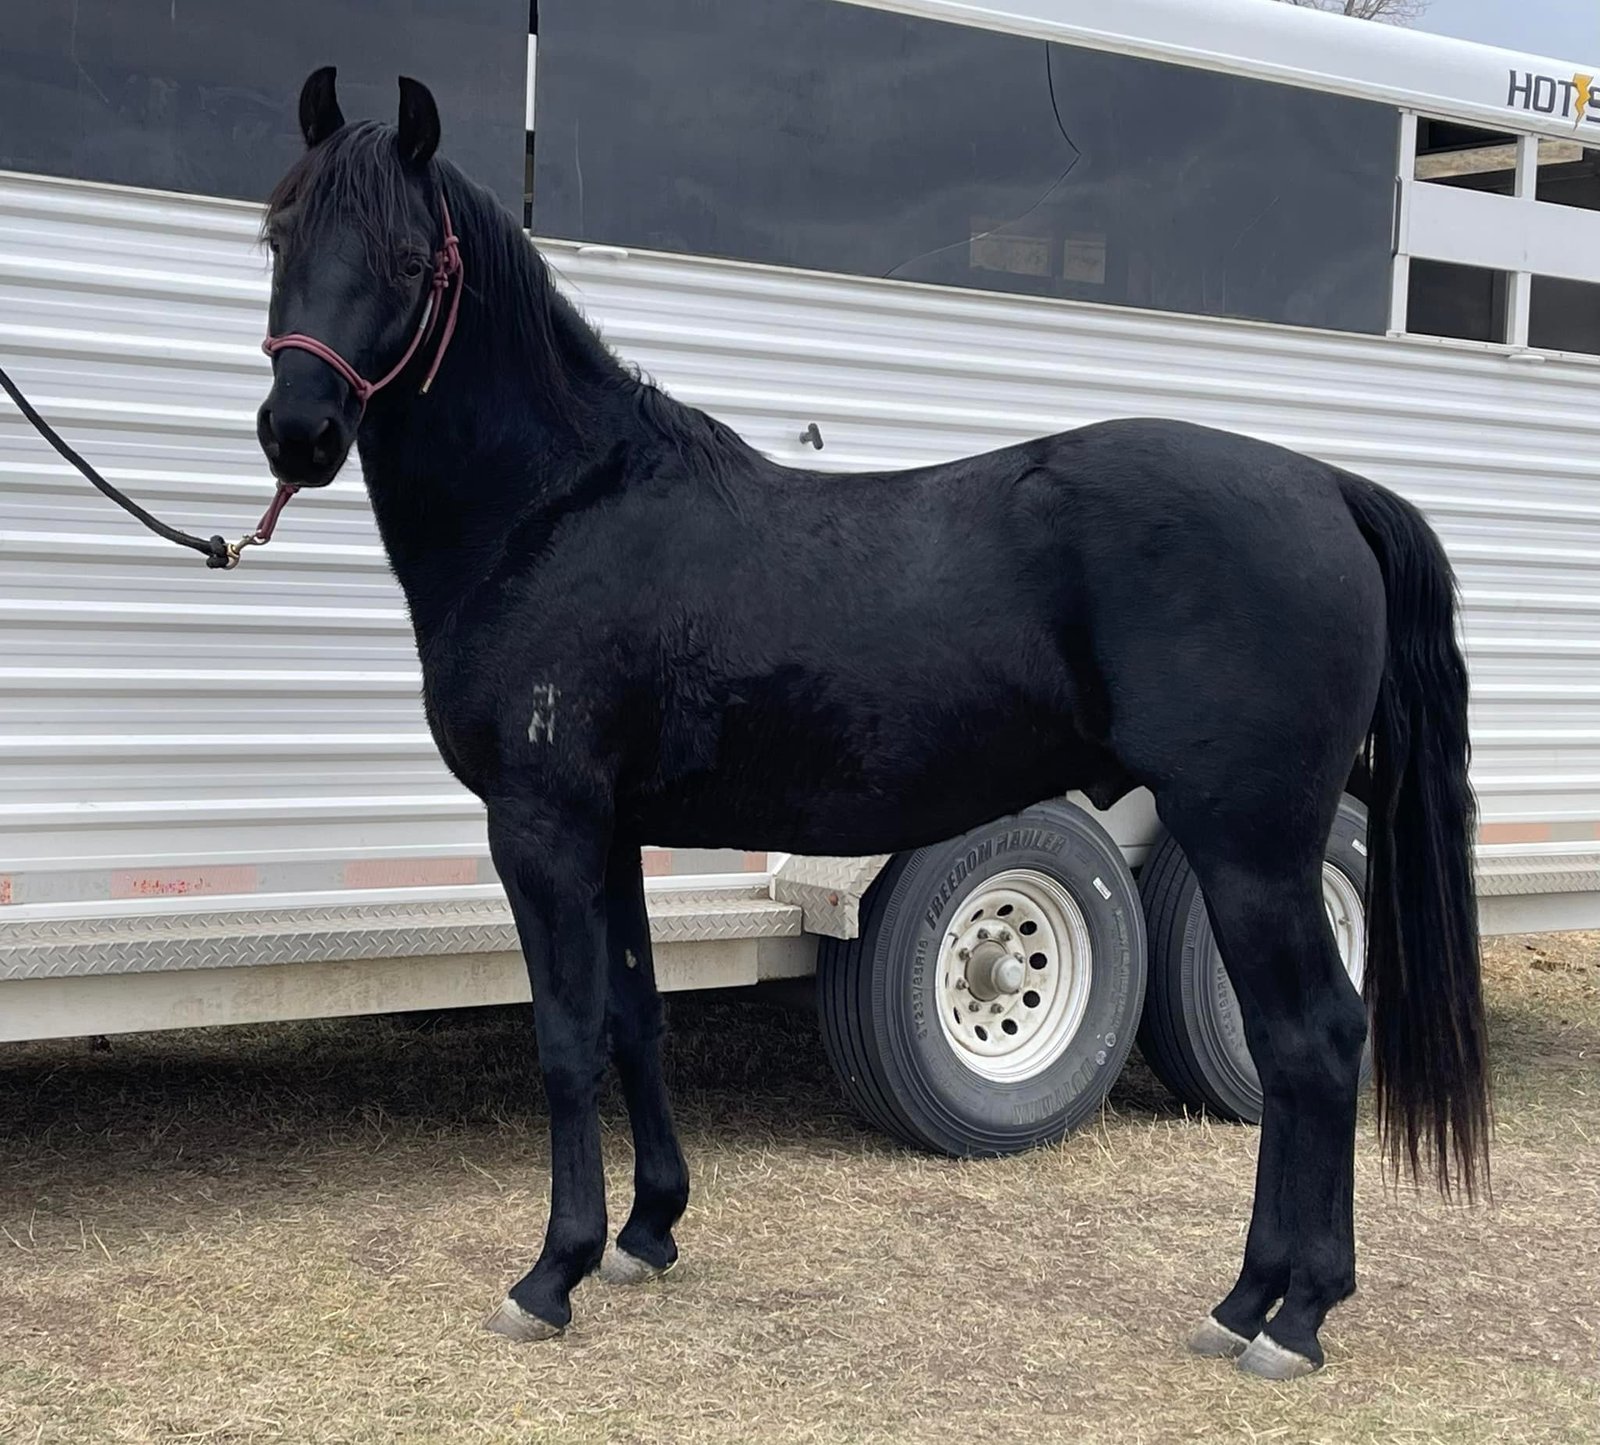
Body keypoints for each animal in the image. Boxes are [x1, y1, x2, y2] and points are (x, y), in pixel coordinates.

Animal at [255, 68, 1488, 1379]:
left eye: (404, 257)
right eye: (279, 235)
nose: (297, 432)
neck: (562, 509)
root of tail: (1327, 488)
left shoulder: (541, 827)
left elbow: (566, 1034)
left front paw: (553, 1270)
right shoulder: (614, 832)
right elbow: (636, 1017)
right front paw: (649, 1229)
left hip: (1248, 844)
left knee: (1311, 1040)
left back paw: (1287, 1314)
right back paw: (1257, 1299)